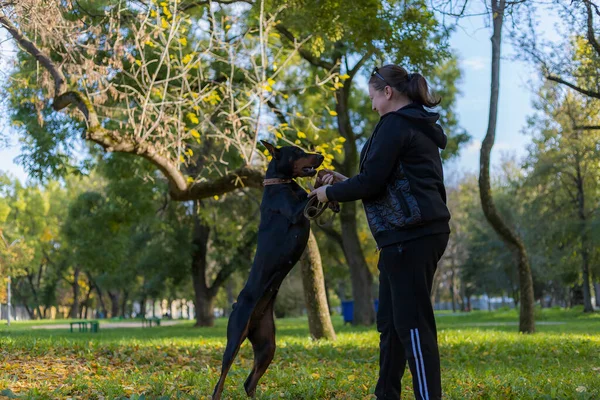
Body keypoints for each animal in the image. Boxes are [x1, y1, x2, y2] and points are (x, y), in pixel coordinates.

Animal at [211, 141, 324, 400]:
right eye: (298, 152)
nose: (321, 156)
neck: (282, 184)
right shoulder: (294, 210)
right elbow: (311, 196)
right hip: (235, 337)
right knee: (221, 379)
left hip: (266, 344)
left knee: (249, 382)